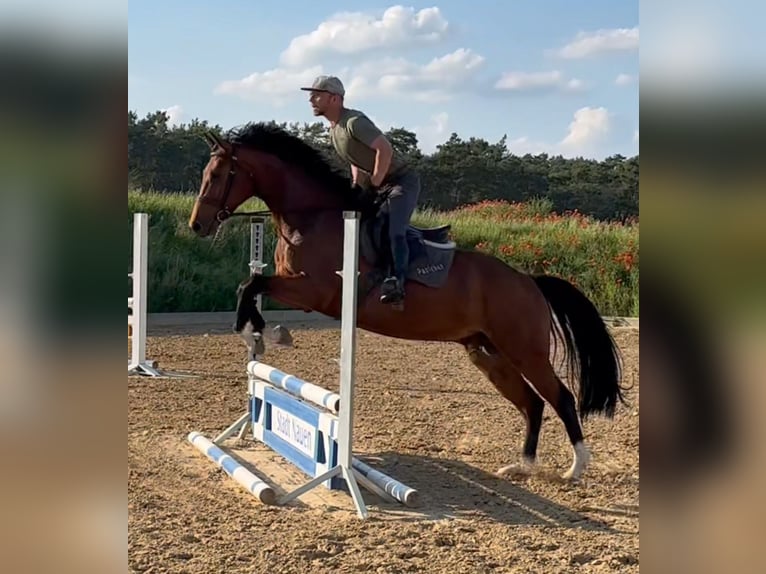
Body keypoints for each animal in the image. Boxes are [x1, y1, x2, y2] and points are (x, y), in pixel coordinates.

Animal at [189, 124, 628, 484]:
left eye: (218, 176)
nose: (197, 225)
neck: (311, 217)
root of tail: (528, 281)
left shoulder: (315, 292)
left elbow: (251, 282)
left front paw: (256, 330)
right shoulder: (299, 289)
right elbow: (251, 285)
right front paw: (262, 332)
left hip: (524, 349)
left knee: (560, 398)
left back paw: (576, 468)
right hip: (488, 353)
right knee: (532, 403)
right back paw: (522, 466)